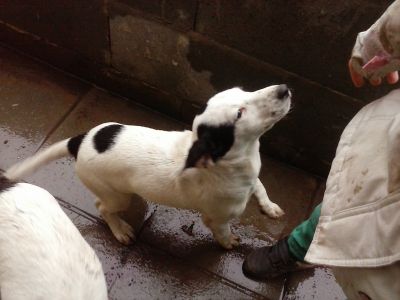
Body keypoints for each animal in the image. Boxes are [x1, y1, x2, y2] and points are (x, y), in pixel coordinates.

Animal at [6, 84, 292, 248]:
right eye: (240, 113)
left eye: (244, 91)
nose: (284, 88)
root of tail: (80, 141)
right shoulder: (217, 218)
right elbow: (222, 232)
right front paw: (229, 242)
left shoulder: (253, 176)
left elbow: (260, 186)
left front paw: (269, 206)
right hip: (115, 196)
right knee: (103, 208)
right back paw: (120, 229)